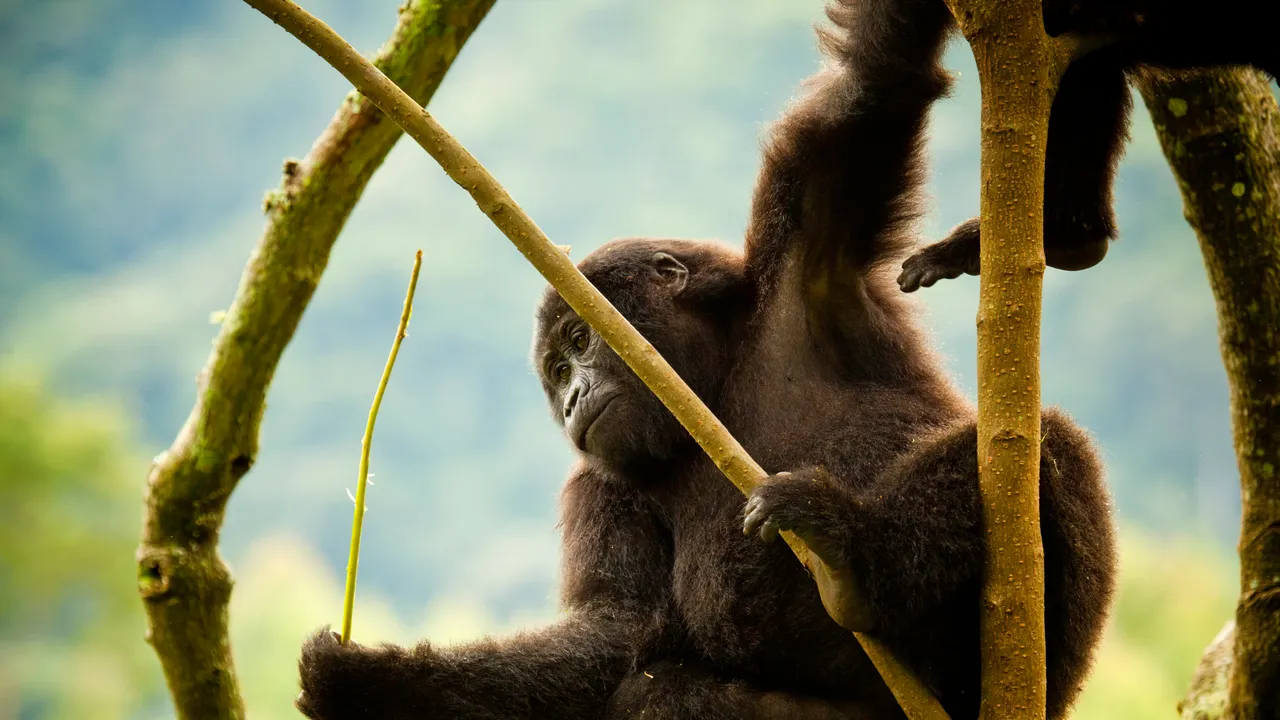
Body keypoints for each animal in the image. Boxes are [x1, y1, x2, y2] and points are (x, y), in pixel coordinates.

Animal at [294, 1, 1117, 717]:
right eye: (557, 375)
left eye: (579, 343)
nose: (571, 400)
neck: (711, 387)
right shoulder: (601, 485)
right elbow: (617, 639)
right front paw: (378, 685)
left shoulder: (806, 250)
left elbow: (875, 77)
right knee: (651, 692)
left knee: (1044, 450)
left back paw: (857, 557)